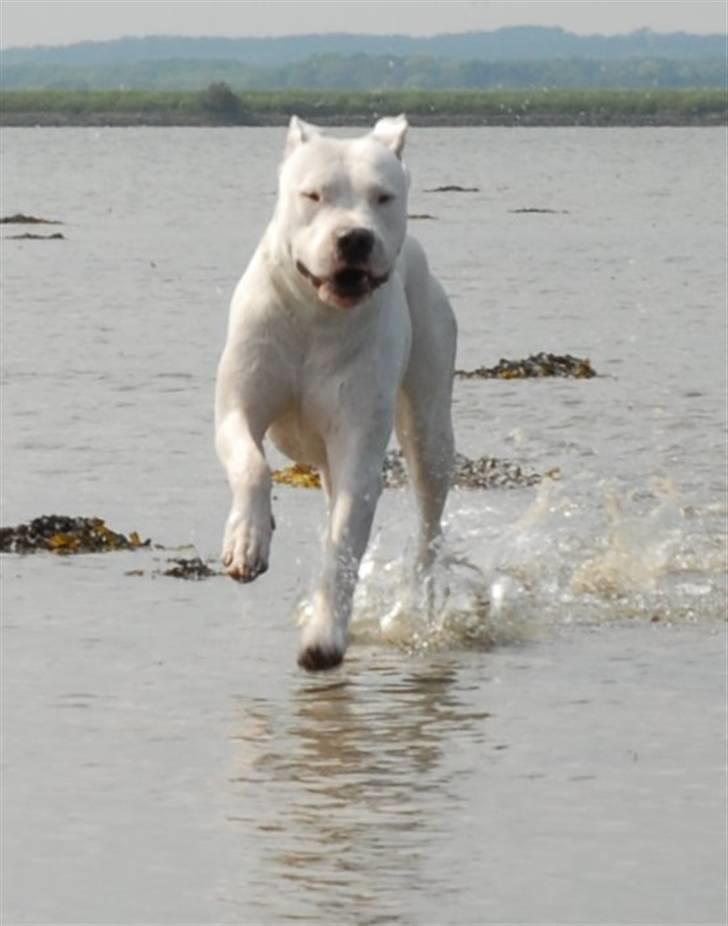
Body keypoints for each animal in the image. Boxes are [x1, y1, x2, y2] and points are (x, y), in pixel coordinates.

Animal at [215, 116, 456, 672]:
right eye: (314, 195)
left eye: (383, 197)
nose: (354, 238)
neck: (316, 315)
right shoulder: (237, 406)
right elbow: (251, 465)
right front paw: (248, 540)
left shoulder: (357, 443)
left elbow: (344, 541)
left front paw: (324, 637)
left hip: (430, 423)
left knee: (429, 514)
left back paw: (420, 591)